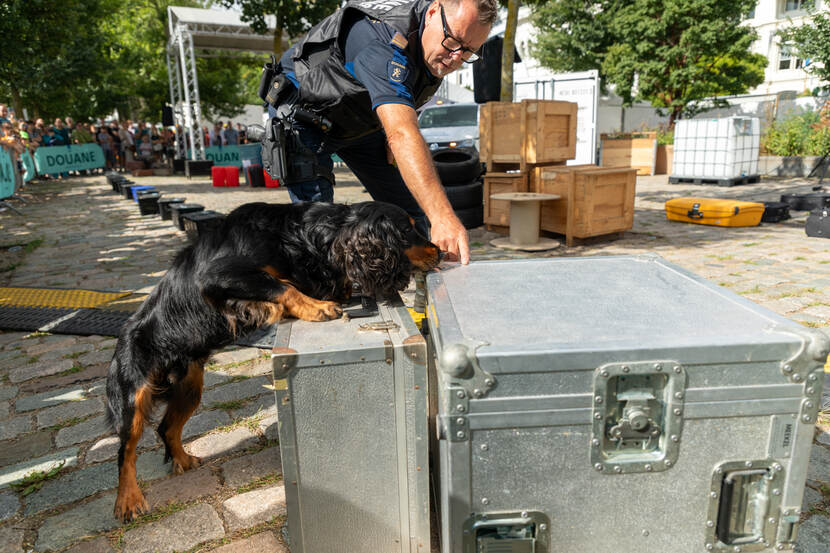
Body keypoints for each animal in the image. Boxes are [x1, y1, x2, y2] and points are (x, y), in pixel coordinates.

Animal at [106, 201, 442, 520]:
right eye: (407, 230)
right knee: (126, 451)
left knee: (166, 428)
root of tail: (123, 337)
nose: (439, 250)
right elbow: (282, 285)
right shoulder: (218, 275)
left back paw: (182, 459)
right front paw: (317, 307)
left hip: (190, 388)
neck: (293, 237)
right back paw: (128, 500)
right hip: (134, 396)